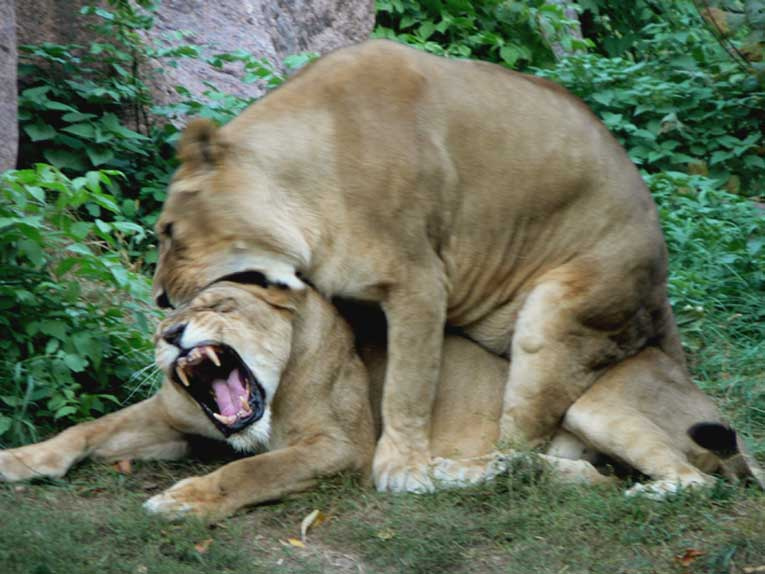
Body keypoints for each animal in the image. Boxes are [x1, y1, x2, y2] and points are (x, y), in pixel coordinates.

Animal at [0, 279, 760, 519]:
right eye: (166, 318)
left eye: (216, 305)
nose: (169, 335)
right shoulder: (173, 416)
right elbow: (85, 430)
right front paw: (18, 459)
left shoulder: (339, 445)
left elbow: (253, 469)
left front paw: (187, 500)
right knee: (580, 474)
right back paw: (461, 472)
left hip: (591, 402)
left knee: (685, 480)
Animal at [151, 39, 688, 492]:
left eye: (169, 231)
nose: (159, 298)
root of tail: (661, 285)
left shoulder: (420, 281)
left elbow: (407, 385)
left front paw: (401, 468)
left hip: (555, 317)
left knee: (523, 445)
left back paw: (466, 470)